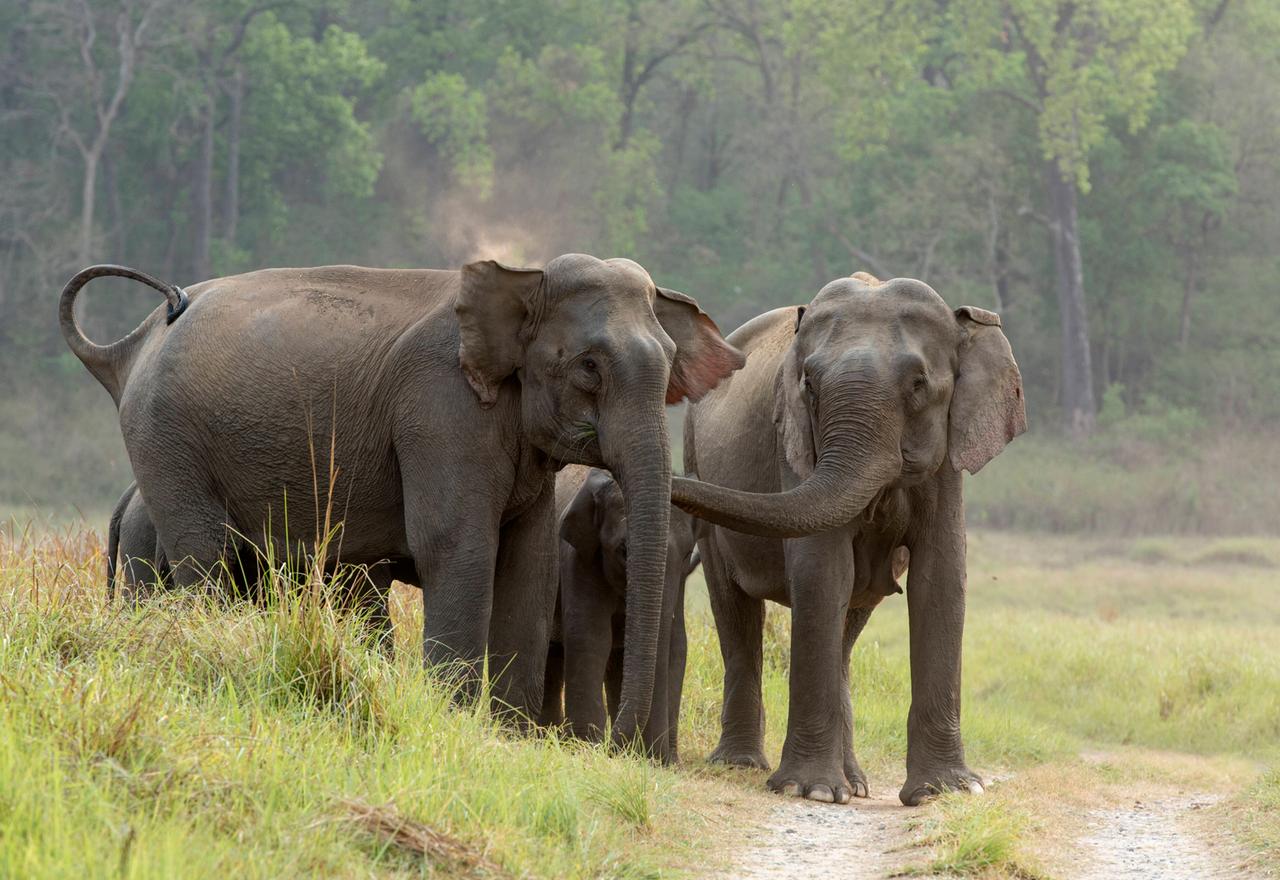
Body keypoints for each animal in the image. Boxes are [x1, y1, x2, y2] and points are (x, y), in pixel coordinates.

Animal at [540, 468, 701, 762]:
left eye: (687, 554)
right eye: (623, 550)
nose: (656, 756)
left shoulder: (680, 583)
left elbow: (675, 645)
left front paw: (651, 759)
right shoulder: (578, 559)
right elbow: (592, 637)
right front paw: (587, 747)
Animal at [675, 273, 1024, 803]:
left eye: (919, 385)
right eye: (809, 386)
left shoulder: (947, 460)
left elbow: (940, 577)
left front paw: (947, 791)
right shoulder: (794, 442)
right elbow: (822, 570)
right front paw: (810, 792)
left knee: (849, 622)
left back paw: (855, 784)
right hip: (698, 458)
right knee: (735, 609)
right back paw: (741, 765)